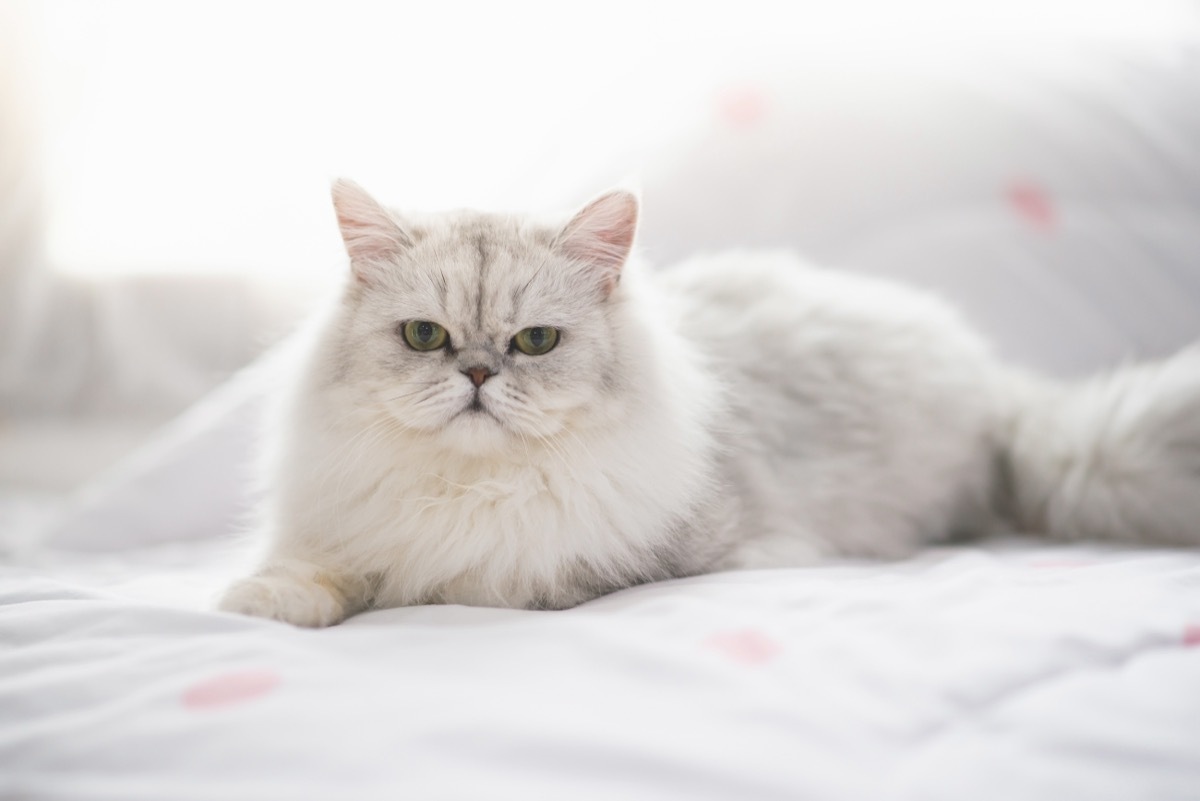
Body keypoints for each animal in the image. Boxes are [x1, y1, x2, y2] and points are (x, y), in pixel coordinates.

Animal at [216, 179, 1200, 623]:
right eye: (426, 336)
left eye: (534, 343)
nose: (480, 376)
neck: (473, 489)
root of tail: (999, 386)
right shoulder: (349, 522)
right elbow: (322, 570)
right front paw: (262, 601)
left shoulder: (613, 563)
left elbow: (478, 581)